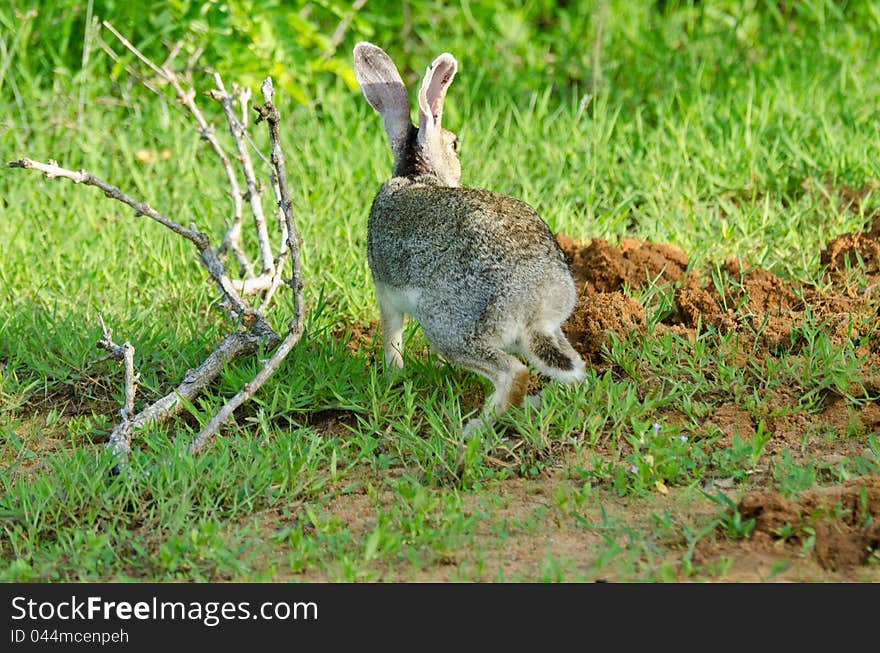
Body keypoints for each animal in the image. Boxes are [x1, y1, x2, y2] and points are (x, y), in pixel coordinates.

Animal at [350, 40, 584, 430]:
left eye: (453, 143)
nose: (458, 152)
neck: (417, 176)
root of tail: (534, 304)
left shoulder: (386, 293)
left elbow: (391, 335)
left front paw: (392, 374)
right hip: (542, 333)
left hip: (448, 325)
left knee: (513, 373)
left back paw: (473, 428)